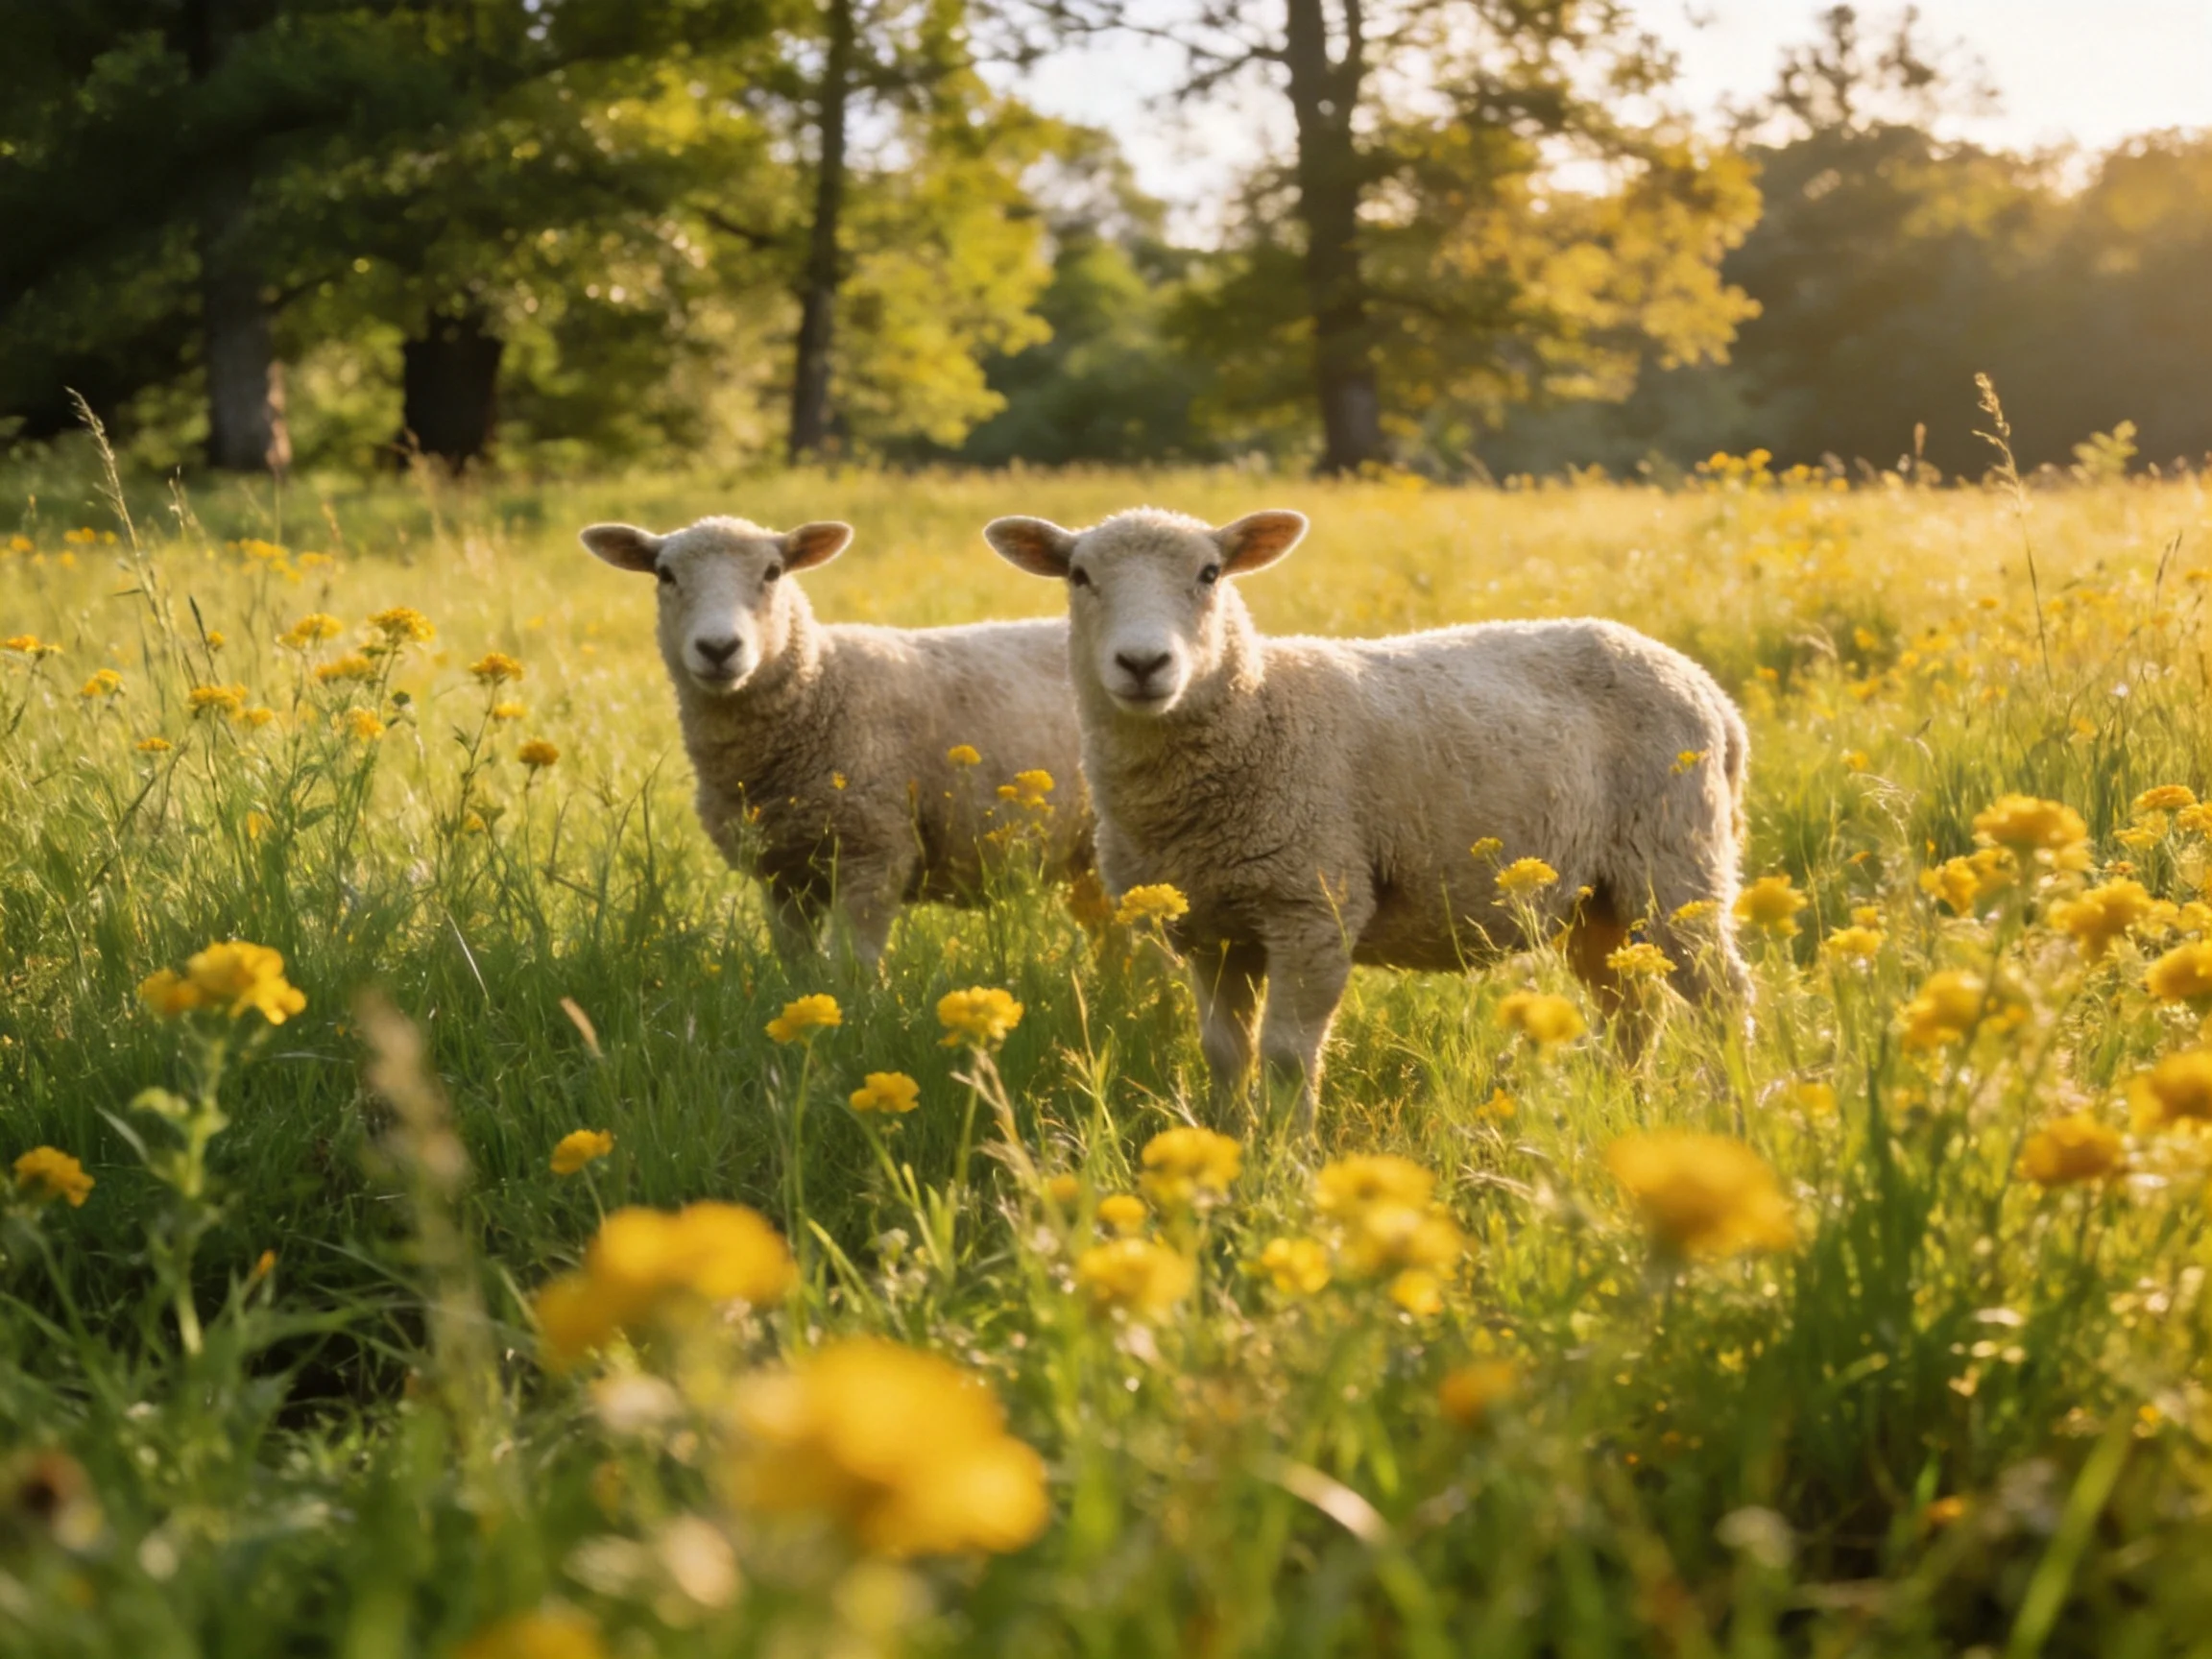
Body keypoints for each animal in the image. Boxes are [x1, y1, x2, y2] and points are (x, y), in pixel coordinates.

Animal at [584, 514, 1091, 965]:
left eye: (773, 572)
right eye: (665, 574)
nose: (718, 648)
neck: (822, 687)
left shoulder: (873, 855)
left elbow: (851, 969)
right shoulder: (783, 875)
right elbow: (798, 966)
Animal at [984, 506, 1750, 1129]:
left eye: (1210, 573)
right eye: (1079, 575)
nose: (1144, 663)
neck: (1258, 713)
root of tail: (1711, 691)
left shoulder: (1313, 906)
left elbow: (1288, 1056)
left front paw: (1288, 1167)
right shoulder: (1211, 929)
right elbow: (1225, 1053)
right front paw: (1231, 1148)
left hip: (1676, 861)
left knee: (1720, 996)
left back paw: (1732, 1108)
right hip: (1598, 897)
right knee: (1633, 1006)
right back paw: (1630, 1103)